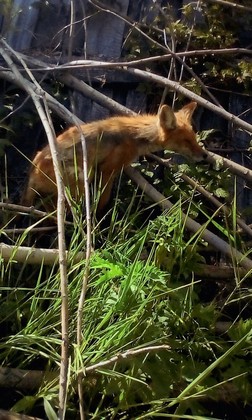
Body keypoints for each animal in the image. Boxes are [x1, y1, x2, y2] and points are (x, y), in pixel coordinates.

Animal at [21, 101, 207, 213]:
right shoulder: (107, 170)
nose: (205, 156)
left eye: (194, 138)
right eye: (186, 141)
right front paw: (99, 217)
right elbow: (103, 201)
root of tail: (32, 173)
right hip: (83, 177)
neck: (136, 136)